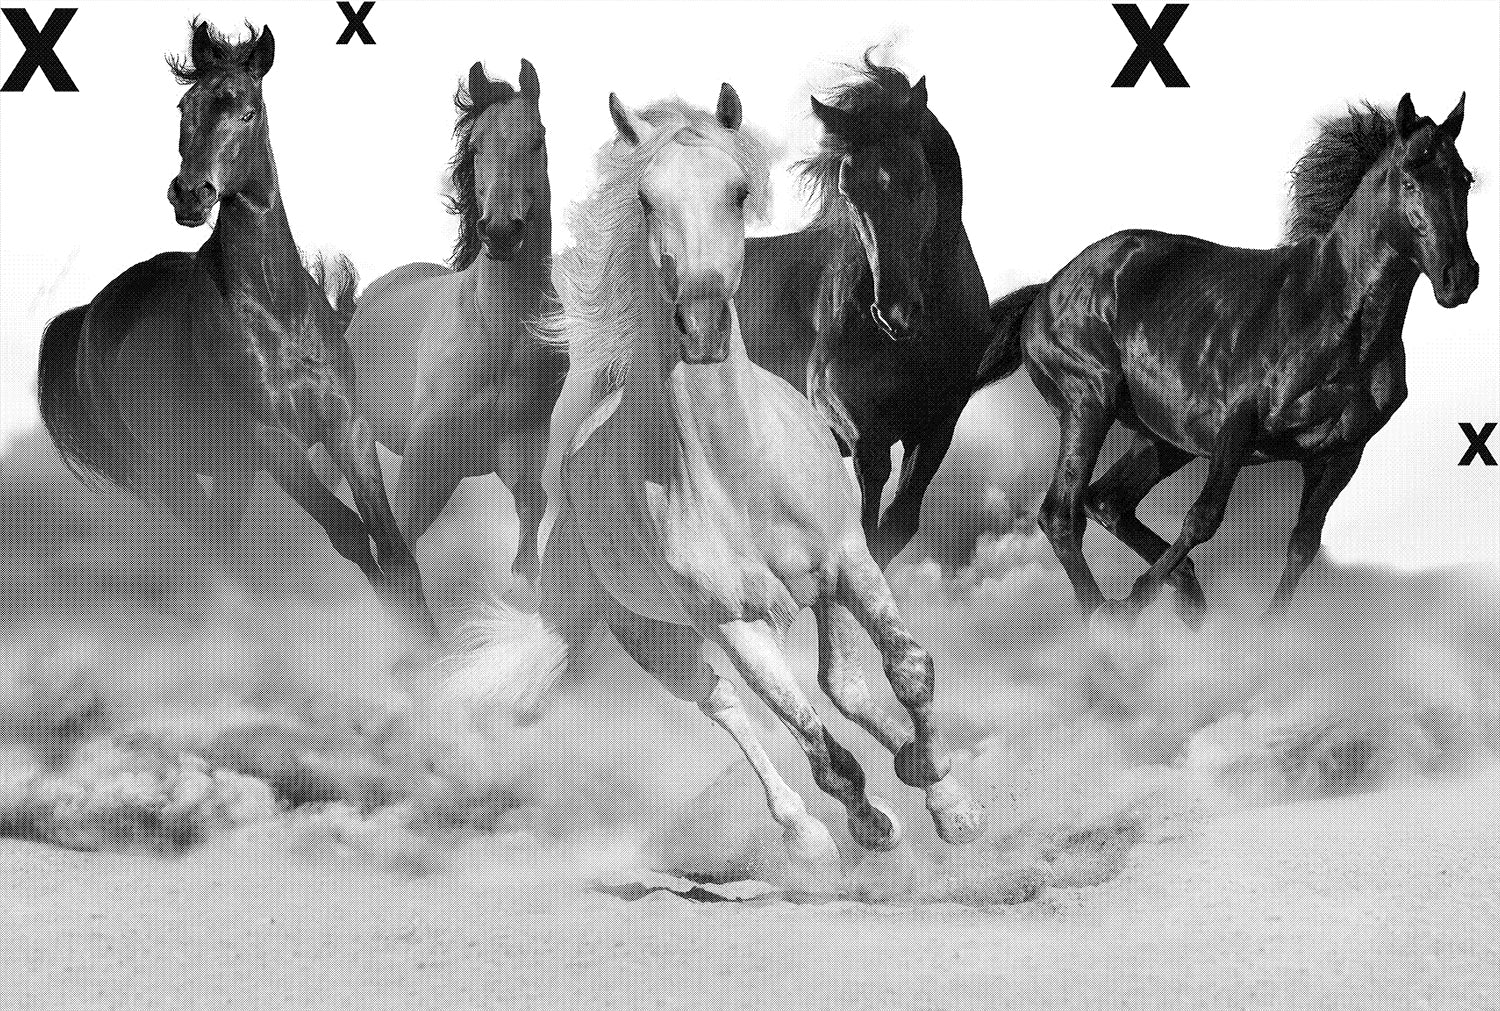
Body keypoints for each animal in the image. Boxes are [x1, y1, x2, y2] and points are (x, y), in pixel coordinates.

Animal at [34, 20, 434, 638]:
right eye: (185, 106)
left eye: (246, 110)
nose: (189, 194)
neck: (277, 309)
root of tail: (85, 319)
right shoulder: (271, 439)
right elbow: (349, 533)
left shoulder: (346, 426)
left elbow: (392, 546)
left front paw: (435, 646)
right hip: (164, 475)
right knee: (210, 547)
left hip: (227, 469)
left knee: (225, 539)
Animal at [342, 60, 565, 582]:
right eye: (477, 144)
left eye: (537, 139)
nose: (501, 231)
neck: (497, 332)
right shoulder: (424, 456)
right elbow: (400, 544)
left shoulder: (522, 448)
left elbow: (529, 538)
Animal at [737, 59, 995, 568]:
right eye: (848, 191)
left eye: (918, 180)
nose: (894, 313)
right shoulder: (858, 428)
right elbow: (867, 533)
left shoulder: (937, 425)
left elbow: (897, 524)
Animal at [984, 94, 1477, 626]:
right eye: (1409, 178)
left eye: (1465, 180)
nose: (1460, 277)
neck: (1334, 316)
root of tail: (1046, 291)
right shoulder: (1235, 429)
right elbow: (1202, 519)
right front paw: (1136, 601)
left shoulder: (1340, 454)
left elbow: (1302, 546)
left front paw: (1260, 634)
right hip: (1087, 404)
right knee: (1062, 513)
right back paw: (1106, 617)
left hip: (1164, 439)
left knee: (1107, 501)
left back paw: (1184, 596)